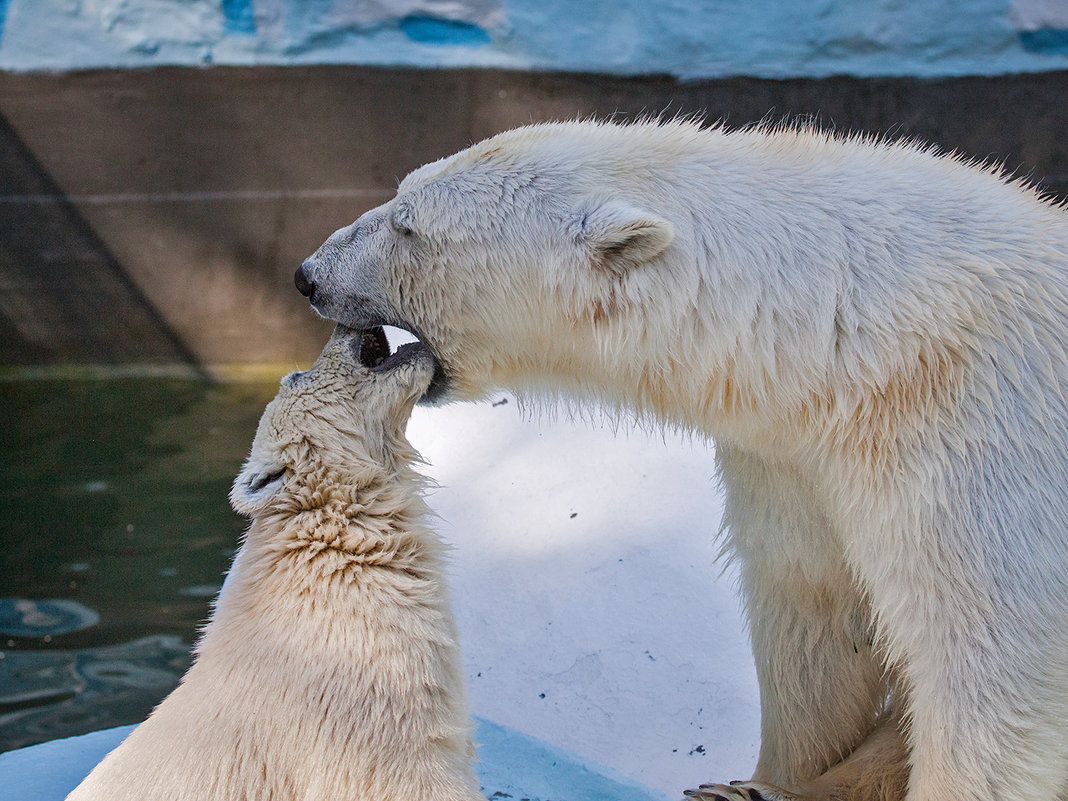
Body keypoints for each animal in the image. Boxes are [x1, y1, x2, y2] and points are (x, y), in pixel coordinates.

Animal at [294, 119, 1068, 801]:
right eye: (400, 196)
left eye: (408, 226)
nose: (307, 274)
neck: (847, 333)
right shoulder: (793, 457)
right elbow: (813, 611)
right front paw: (763, 779)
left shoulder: (977, 441)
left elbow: (996, 674)